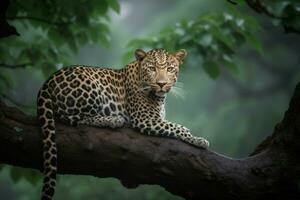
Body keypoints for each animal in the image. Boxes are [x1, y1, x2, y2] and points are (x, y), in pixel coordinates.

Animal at [37, 47, 209, 199]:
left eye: (170, 68)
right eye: (152, 68)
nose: (161, 83)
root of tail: (47, 81)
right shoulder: (145, 119)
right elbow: (179, 127)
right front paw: (198, 140)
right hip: (89, 87)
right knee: (74, 117)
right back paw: (114, 120)